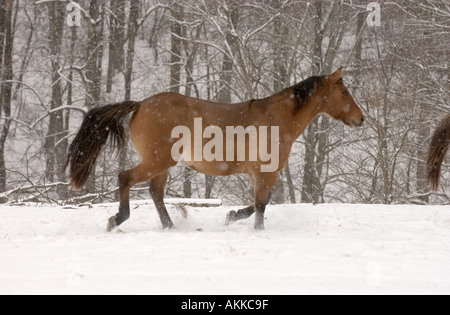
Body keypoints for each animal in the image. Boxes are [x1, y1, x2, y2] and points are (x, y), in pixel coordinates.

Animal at [65, 69, 364, 232]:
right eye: (345, 92)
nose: (361, 119)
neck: (278, 118)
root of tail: (140, 105)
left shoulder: (257, 174)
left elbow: (259, 203)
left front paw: (232, 217)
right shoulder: (266, 174)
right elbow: (261, 205)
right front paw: (252, 228)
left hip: (162, 165)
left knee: (156, 193)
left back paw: (170, 227)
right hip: (157, 161)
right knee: (126, 178)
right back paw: (118, 219)